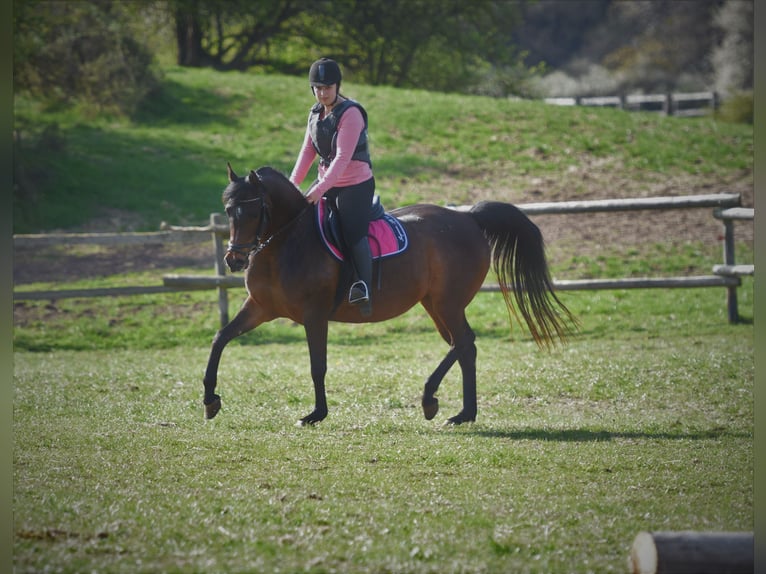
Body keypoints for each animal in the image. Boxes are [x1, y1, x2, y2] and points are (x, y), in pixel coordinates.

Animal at [204, 166, 576, 428]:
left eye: (254, 211)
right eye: (228, 210)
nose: (234, 259)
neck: (286, 241)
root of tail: (467, 217)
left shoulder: (314, 315)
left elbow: (317, 365)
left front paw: (316, 413)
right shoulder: (260, 308)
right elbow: (220, 338)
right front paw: (210, 399)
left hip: (448, 303)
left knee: (464, 342)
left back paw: (435, 401)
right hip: (436, 305)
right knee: (463, 347)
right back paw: (461, 411)